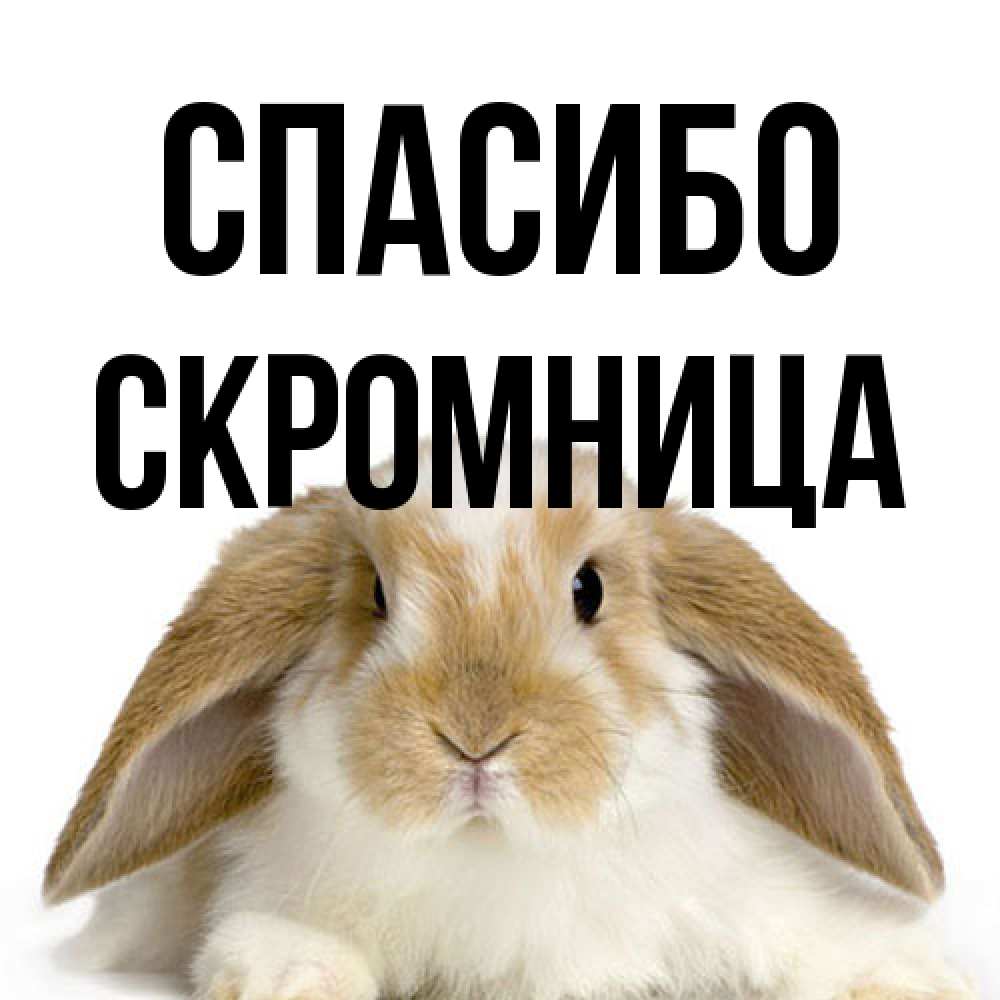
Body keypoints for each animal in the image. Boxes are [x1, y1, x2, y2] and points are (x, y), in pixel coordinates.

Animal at [45, 442, 975, 1000]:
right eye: (376, 596)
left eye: (589, 589)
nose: (475, 737)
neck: (495, 858)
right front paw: (289, 977)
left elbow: (816, 938)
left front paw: (909, 978)